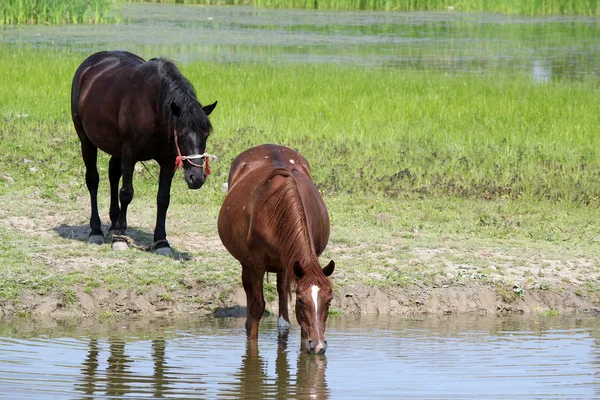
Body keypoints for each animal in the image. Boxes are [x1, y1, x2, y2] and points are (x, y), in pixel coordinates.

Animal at [71, 51, 216, 255]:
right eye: (181, 134)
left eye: (206, 135)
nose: (197, 178)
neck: (153, 107)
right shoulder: (129, 154)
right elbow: (126, 193)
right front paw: (120, 238)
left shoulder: (168, 161)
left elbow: (163, 198)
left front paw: (161, 241)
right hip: (87, 141)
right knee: (93, 180)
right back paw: (96, 230)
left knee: (113, 174)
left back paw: (113, 224)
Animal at [218, 144, 336, 354]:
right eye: (301, 300)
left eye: (329, 300)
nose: (319, 345)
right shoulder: (256, 264)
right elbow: (257, 307)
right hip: (247, 263)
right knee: (249, 289)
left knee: (281, 292)